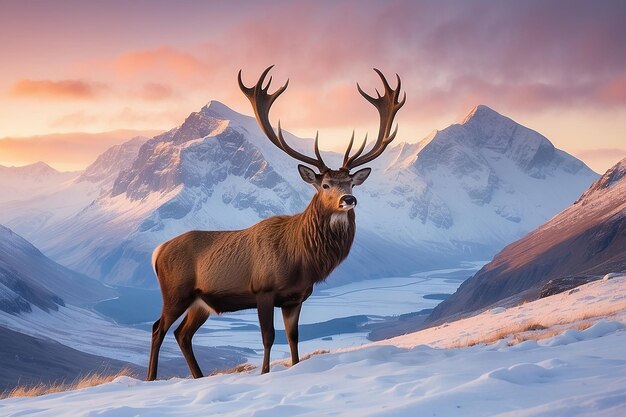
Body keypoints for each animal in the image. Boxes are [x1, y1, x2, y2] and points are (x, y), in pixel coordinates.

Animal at [145, 66, 404, 380]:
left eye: (351, 183)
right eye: (326, 185)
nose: (349, 200)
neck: (302, 259)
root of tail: (157, 252)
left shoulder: (296, 298)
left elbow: (293, 338)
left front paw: (293, 366)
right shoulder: (263, 289)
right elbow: (268, 337)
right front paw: (265, 373)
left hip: (200, 302)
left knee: (182, 334)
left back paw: (198, 376)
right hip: (175, 291)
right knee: (157, 328)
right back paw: (151, 378)